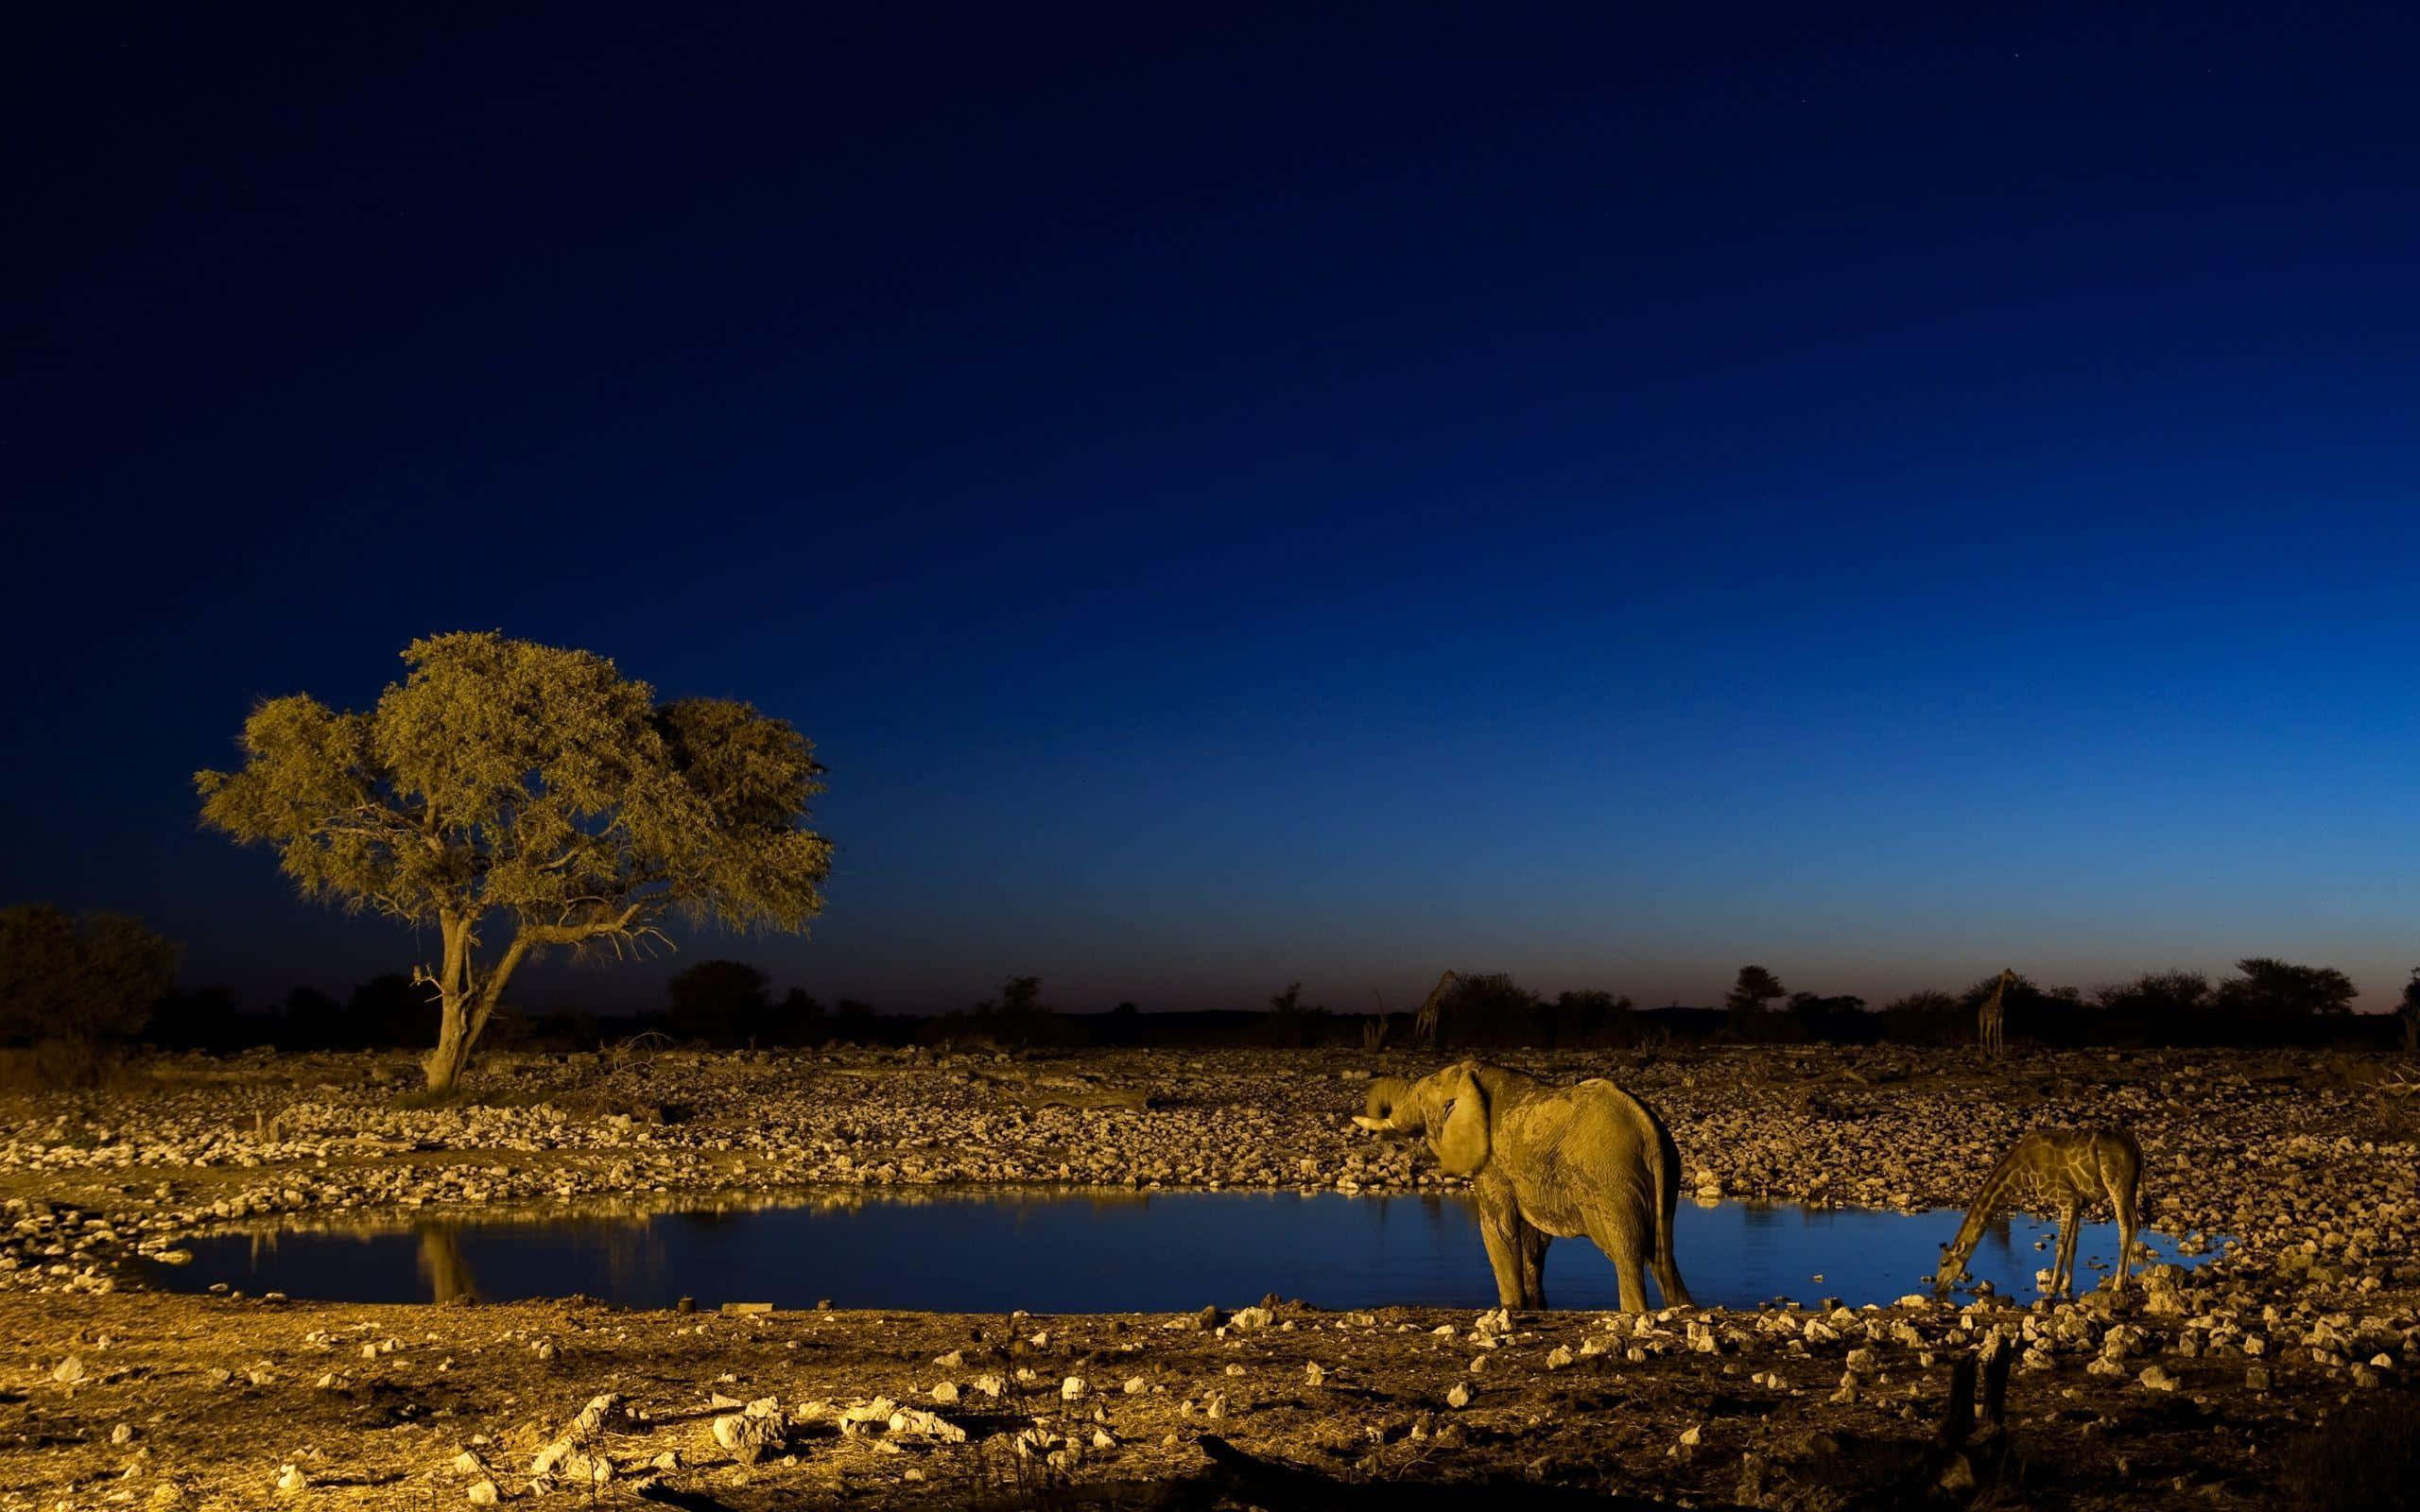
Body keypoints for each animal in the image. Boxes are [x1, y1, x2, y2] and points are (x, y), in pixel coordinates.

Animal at [1354, 1060, 1691, 1312]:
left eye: (1421, 1098)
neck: (1471, 1075)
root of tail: (1648, 1128)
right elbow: (1533, 1238)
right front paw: (1534, 1307)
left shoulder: (1492, 1163)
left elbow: (1498, 1228)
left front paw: (1510, 1308)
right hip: (1666, 1174)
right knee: (1663, 1255)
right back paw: (1682, 1308)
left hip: (1611, 1181)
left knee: (1626, 1252)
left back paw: (1634, 1311)